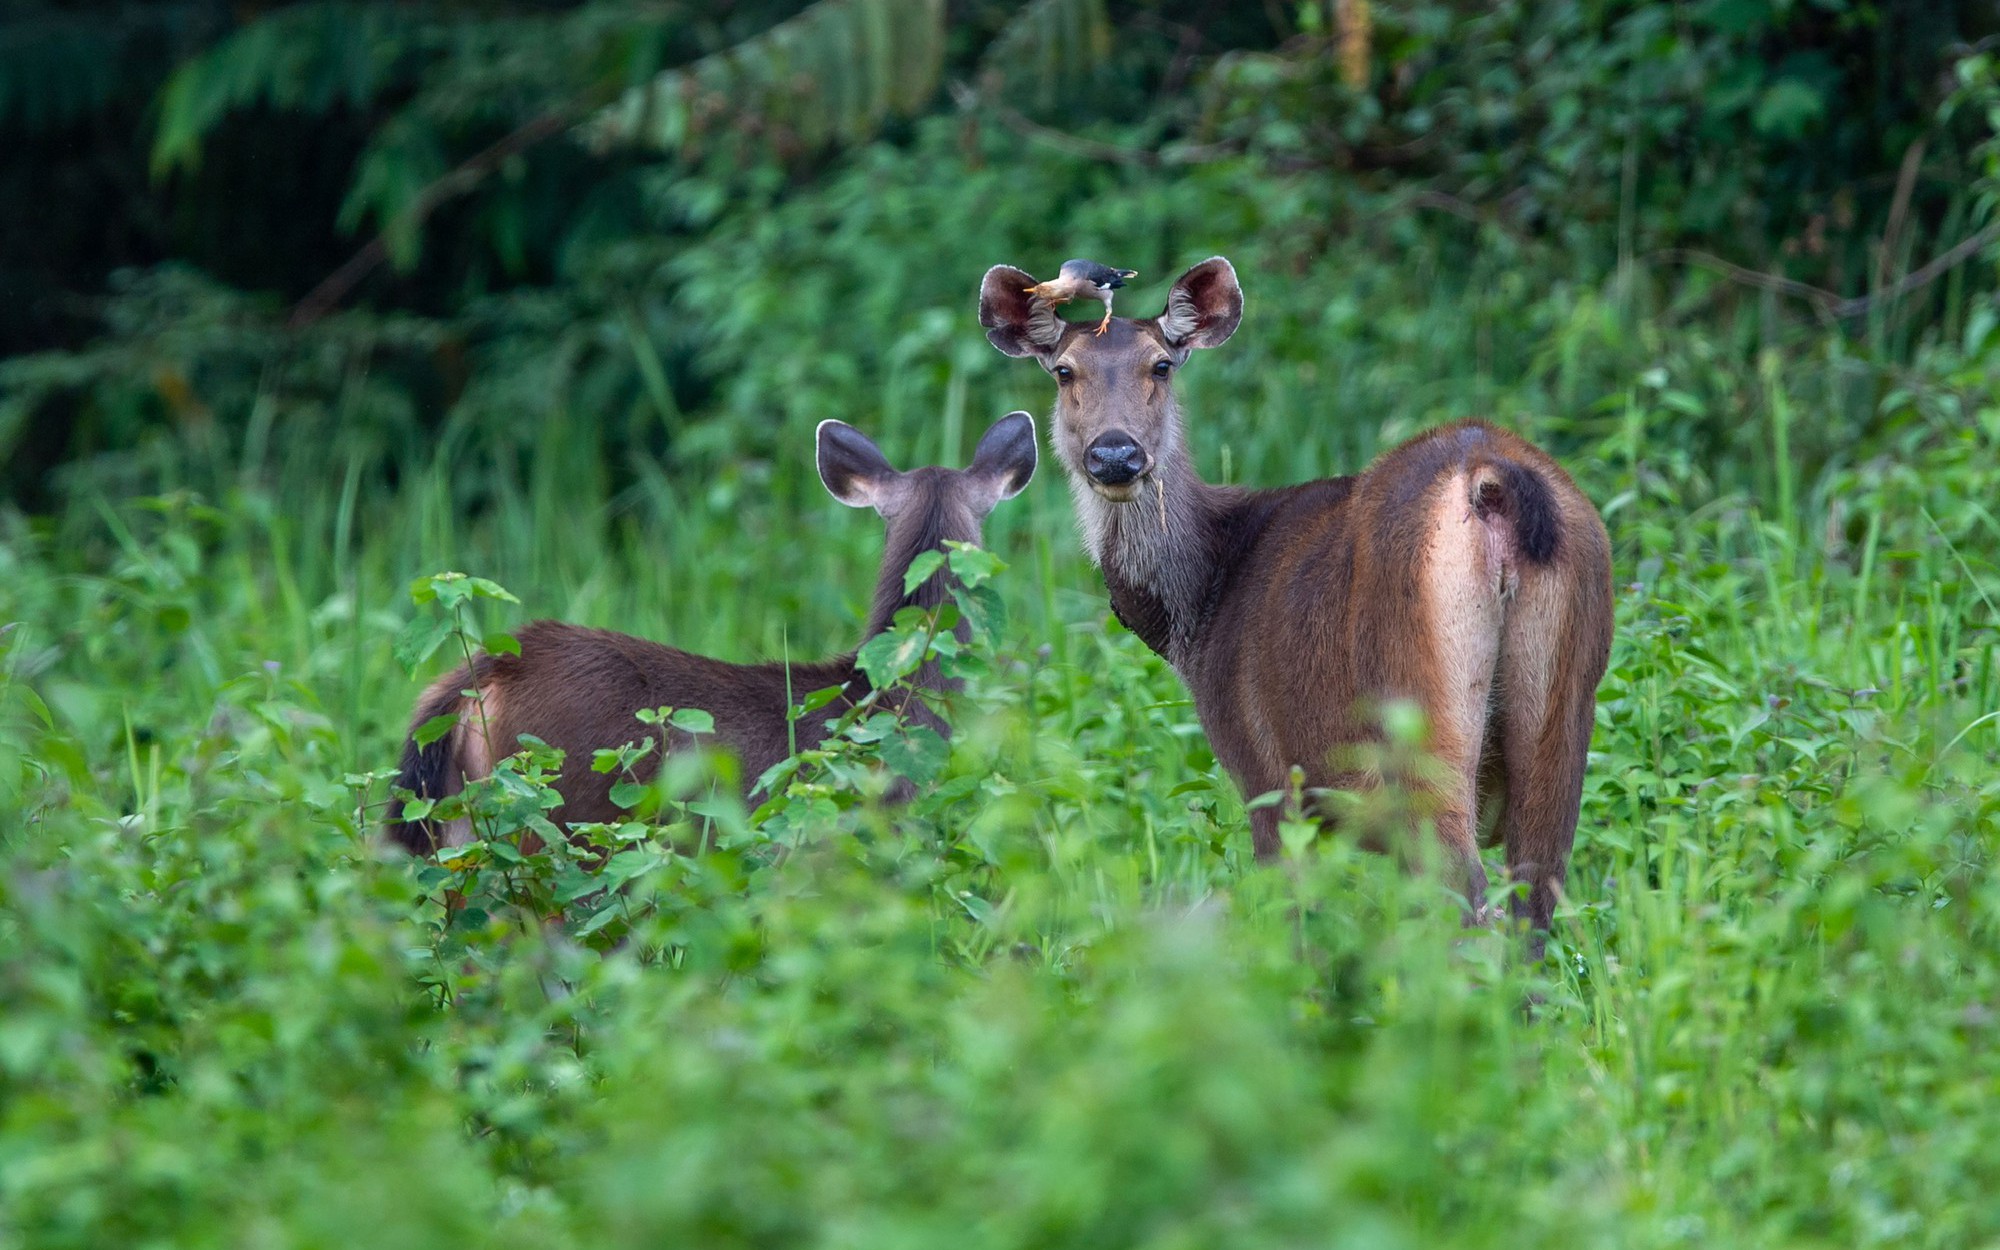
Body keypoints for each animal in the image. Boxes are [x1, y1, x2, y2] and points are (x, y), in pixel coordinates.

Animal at [976, 258, 1616, 952]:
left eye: (1161, 365)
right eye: (1065, 370)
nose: (1115, 453)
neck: (1201, 606)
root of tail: (1491, 479)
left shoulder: (1266, 775)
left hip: (1417, 708)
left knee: (1468, 903)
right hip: (1564, 709)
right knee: (1532, 911)